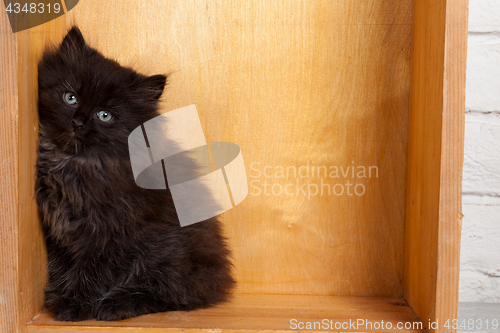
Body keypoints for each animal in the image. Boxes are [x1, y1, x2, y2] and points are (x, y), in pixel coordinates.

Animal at [36, 27, 235, 320]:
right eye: (70, 97)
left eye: (104, 115)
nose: (77, 122)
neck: (76, 164)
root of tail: (221, 275)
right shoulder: (58, 231)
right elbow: (60, 264)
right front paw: (59, 293)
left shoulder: (110, 232)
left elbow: (91, 271)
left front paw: (73, 303)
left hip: (165, 247)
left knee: (174, 293)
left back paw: (118, 303)